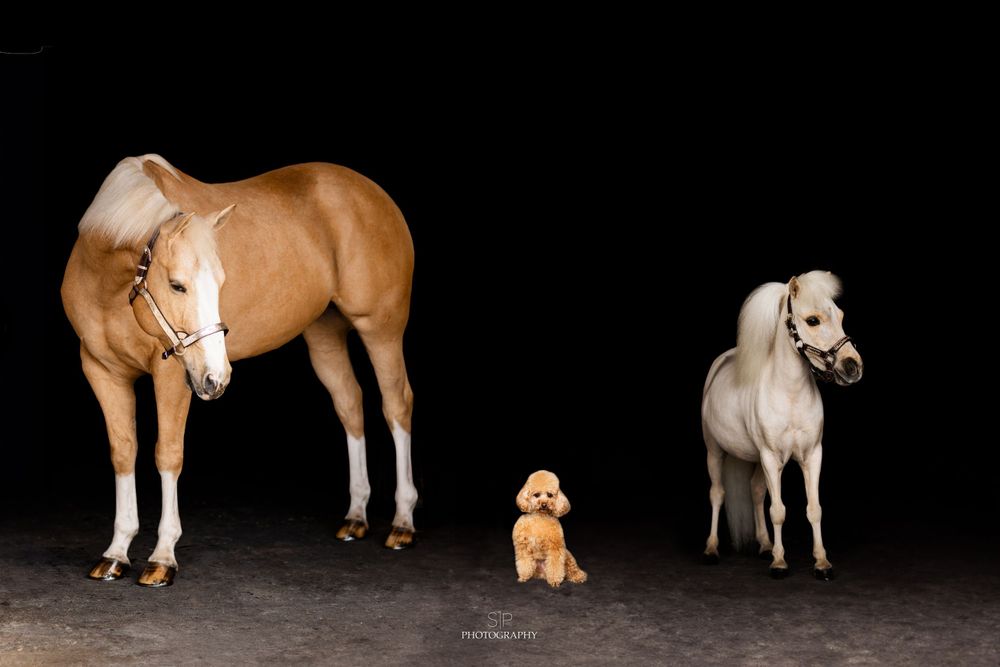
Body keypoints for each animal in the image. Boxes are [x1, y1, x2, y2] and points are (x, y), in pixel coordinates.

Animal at [62, 154, 417, 587]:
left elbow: (168, 455)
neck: (111, 289)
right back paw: (355, 517)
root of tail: (375, 193)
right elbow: (123, 452)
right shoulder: (101, 371)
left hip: (381, 328)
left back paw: (402, 522)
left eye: (221, 282)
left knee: (396, 405)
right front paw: (116, 552)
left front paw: (162, 557)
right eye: (177, 285)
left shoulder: (173, 374)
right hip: (324, 333)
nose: (217, 378)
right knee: (350, 404)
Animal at [700, 270, 862, 580]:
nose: (853, 366)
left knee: (755, 491)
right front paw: (779, 563)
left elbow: (814, 509)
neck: (790, 395)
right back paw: (712, 549)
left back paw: (764, 545)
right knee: (717, 494)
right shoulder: (771, 458)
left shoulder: (812, 456)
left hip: (757, 460)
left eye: (840, 315)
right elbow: (778, 510)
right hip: (715, 451)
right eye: (813, 320)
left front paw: (821, 563)